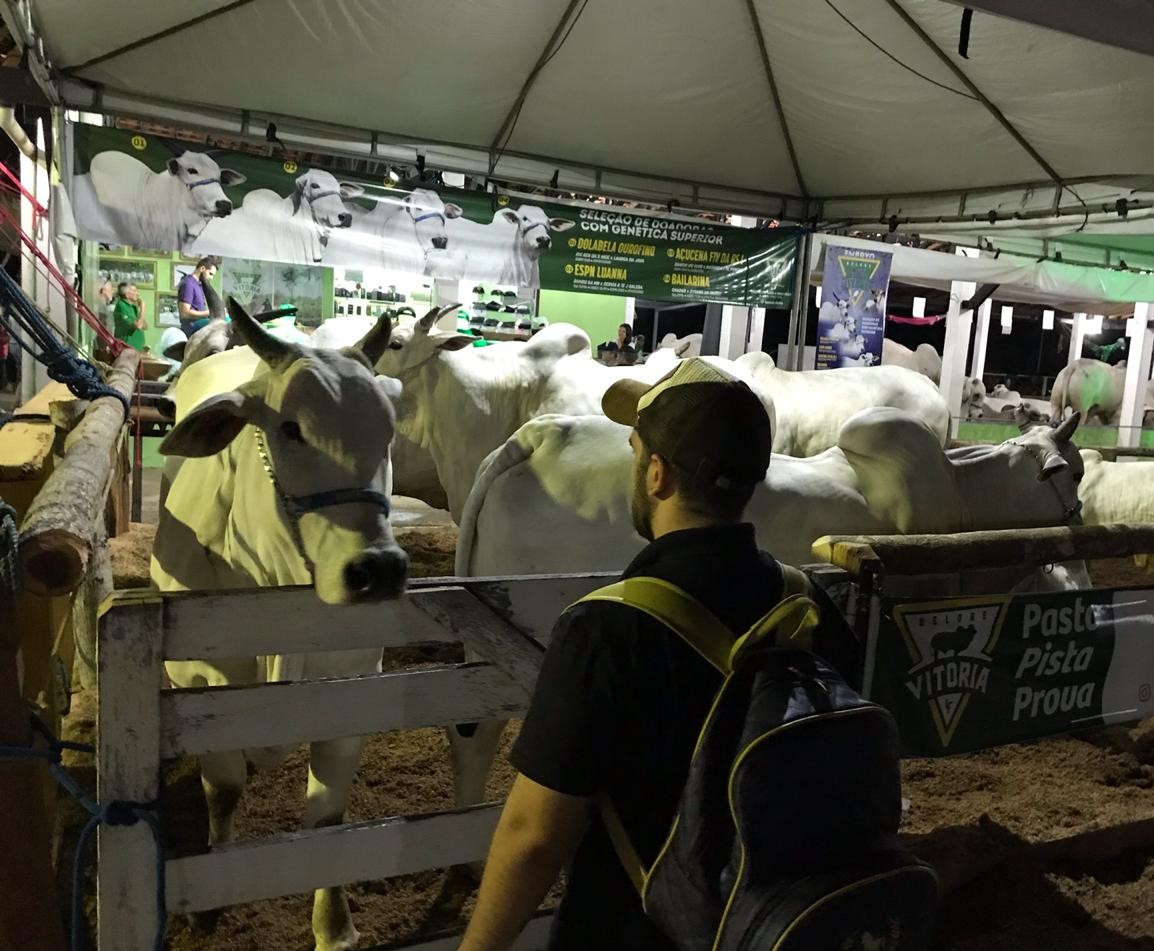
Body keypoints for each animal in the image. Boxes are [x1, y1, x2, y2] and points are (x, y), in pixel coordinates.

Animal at [151, 300, 408, 950]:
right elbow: (223, 788)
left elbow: (328, 817)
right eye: (290, 429)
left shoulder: (353, 685)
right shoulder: (199, 679)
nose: (378, 569)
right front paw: (209, 901)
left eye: (388, 433)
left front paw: (334, 927)